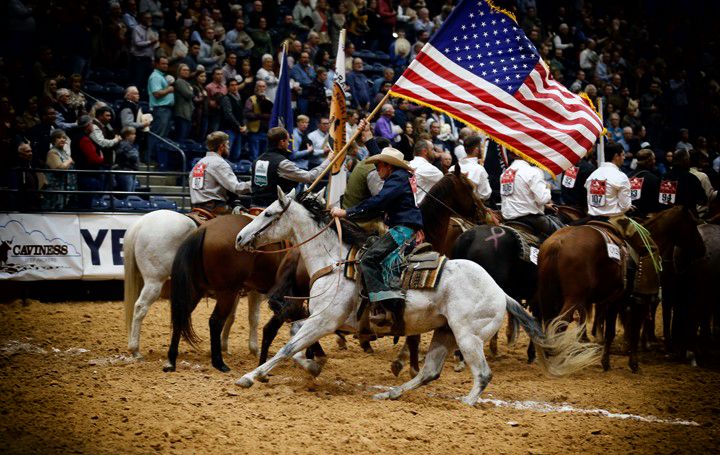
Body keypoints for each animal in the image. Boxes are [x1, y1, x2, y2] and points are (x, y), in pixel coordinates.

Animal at [122, 209, 262, 360]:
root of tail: (141, 223)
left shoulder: (232, 290)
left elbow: (230, 317)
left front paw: (223, 346)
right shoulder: (255, 290)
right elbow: (254, 318)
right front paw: (255, 349)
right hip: (154, 281)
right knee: (140, 308)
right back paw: (135, 349)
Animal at [233, 189, 600, 406]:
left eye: (268, 213)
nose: (238, 238)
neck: (334, 260)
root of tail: (501, 293)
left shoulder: (325, 320)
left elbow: (287, 347)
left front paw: (249, 377)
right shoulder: (319, 320)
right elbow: (294, 341)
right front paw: (313, 365)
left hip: (467, 336)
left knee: (482, 374)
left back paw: (466, 403)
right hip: (445, 332)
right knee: (430, 372)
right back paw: (390, 393)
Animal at [536, 208, 704, 372]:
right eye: (693, 224)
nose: (701, 248)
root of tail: (558, 242)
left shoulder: (613, 301)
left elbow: (610, 332)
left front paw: (605, 361)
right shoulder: (637, 303)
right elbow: (634, 330)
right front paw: (633, 363)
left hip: (549, 295)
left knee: (550, 321)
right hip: (574, 298)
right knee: (561, 323)